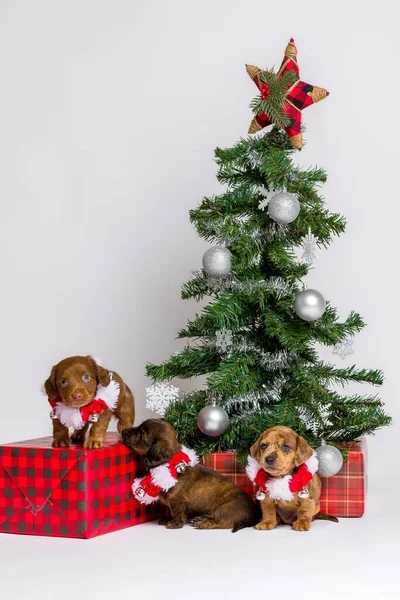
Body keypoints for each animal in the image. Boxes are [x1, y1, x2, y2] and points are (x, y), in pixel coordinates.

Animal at [121, 420, 260, 532]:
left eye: (141, 434)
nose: (123, 431)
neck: (170, 466)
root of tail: (254, 514)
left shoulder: (178, 502)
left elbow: (176, 513)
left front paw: (174, 523)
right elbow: (168, 510)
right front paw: (166, 519)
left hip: (225, 508)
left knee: (222, 522)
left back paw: (204, 523)